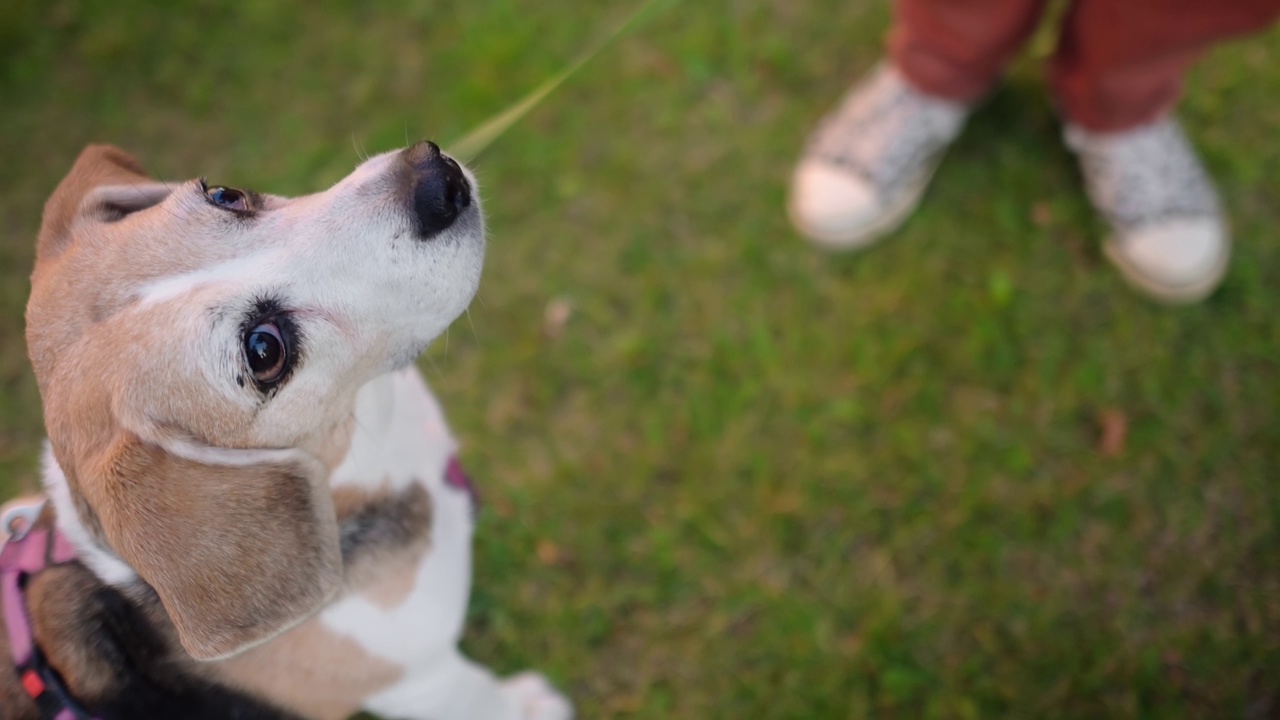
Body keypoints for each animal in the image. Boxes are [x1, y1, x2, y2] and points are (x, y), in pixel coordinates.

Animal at [0, 141, 570, 717]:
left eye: (224, 194)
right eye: (264, 349)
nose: (434, 177)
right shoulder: (425, 680)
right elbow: (481, 695)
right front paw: (531, 703)